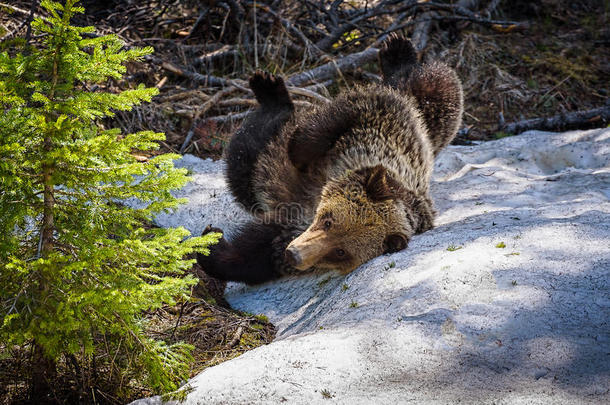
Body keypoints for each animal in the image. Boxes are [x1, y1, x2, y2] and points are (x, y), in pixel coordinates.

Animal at [197, 36, 464, 286]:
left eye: (340, 252)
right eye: (328, 221)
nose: (295, 255)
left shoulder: (295, 225)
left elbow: (260, 251)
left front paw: (213, 246)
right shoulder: (376, 127)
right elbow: (332, 122)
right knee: (435, 83)